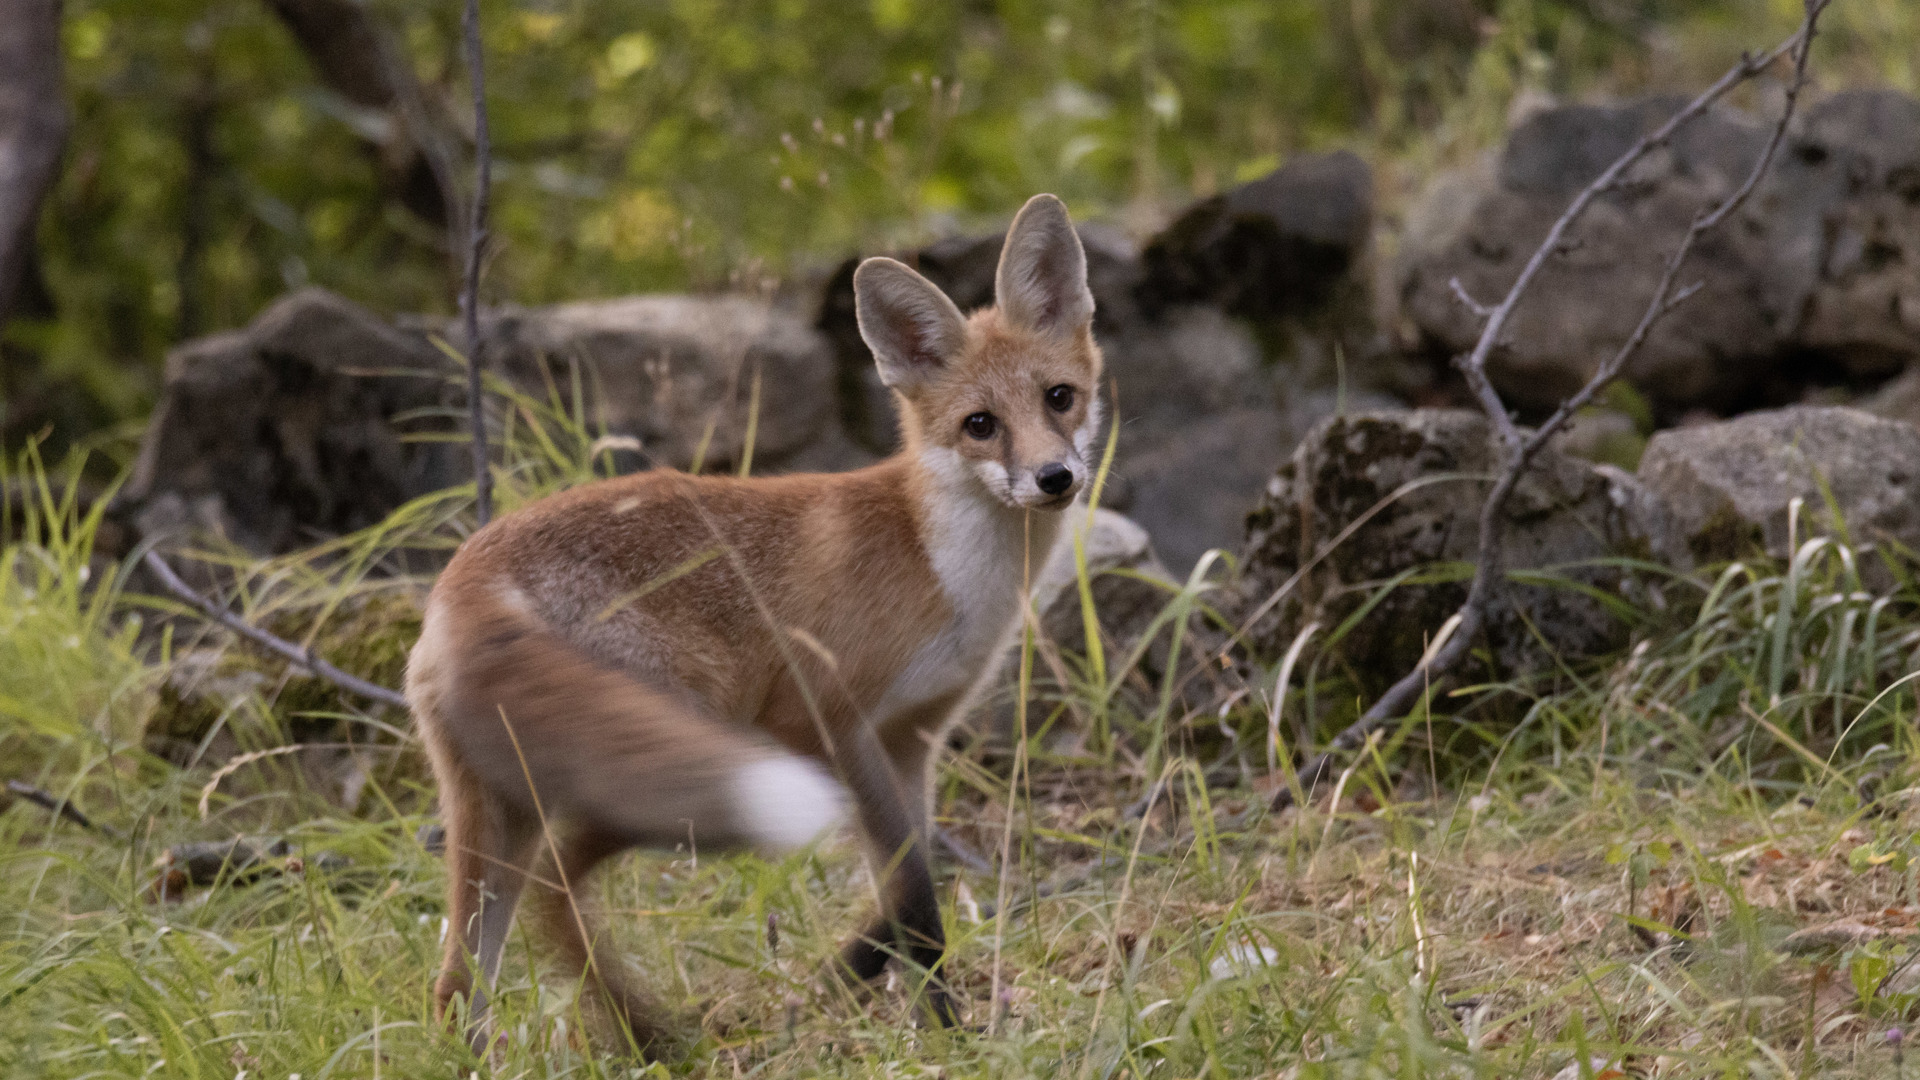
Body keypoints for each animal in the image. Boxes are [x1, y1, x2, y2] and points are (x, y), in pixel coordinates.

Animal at [408, 193, 1113, 1053]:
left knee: (460, 977)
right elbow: (913, 897)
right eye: (980, 424)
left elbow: (904, 899)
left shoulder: (911, 742)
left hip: (504, 810)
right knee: (553, 889)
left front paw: (892, 1010)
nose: (1055, 477)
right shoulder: (822, 723)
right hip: (664, 764)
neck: (936, 561)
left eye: (1058, 397)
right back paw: (650, 1036)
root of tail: (467, 575)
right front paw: (926, 1027)